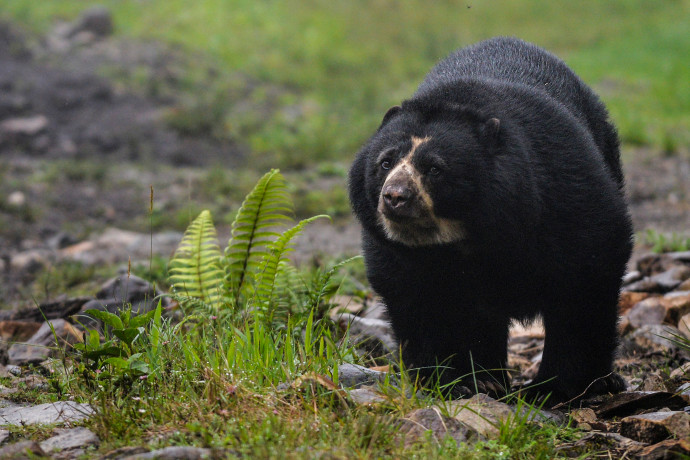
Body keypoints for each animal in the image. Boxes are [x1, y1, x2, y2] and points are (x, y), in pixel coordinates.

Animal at [346, 36, 632, 402]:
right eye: (385, 162)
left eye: (434, 168)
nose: (395, 196)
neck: (466, 237)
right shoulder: (401, 257)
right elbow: (420, 304)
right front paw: (453, 382)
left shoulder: (564, 193)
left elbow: (586, 277)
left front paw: (552, 389)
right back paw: (489, 378)